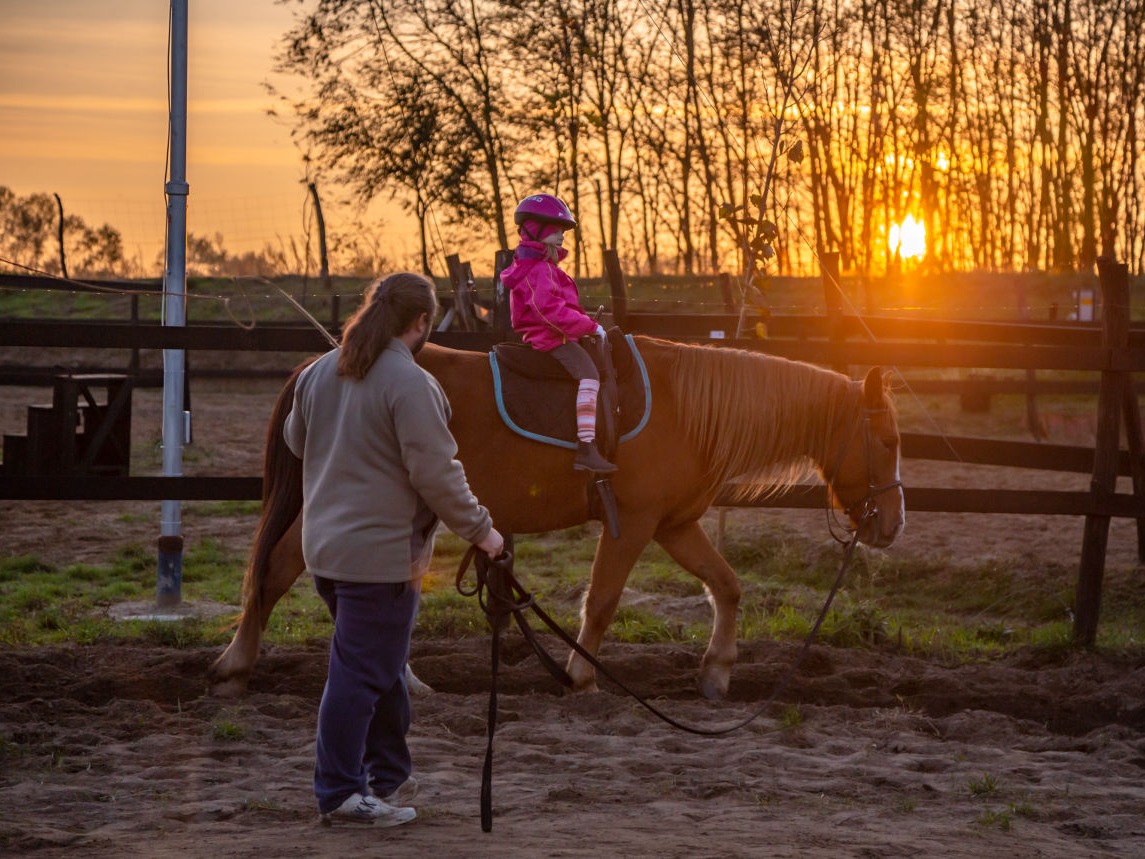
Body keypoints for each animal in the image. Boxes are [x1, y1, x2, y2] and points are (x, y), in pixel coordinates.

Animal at [209, 335, 904, 699]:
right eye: (891, 440)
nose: (892, 525)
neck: (684, 405)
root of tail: (326, 362)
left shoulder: (674, 525)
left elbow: (727, 586)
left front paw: (715, 673)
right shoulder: (635, 523)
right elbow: (602, 599)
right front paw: (581, 675)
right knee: (279, 570)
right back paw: (237, 665)